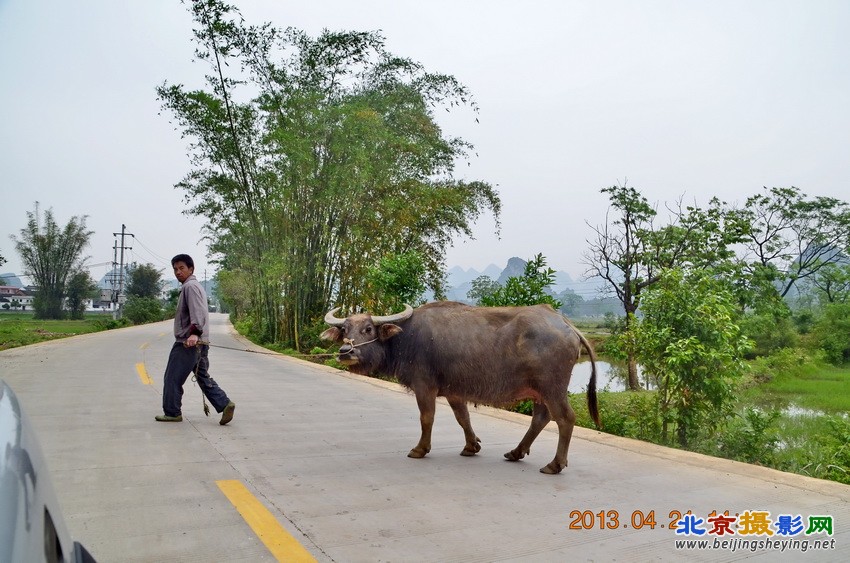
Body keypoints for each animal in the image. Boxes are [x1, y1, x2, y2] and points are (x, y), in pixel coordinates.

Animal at [320, 302, 604, 474]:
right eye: (344, 329)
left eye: (368, 328)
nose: (345, 351)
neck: (406, 337)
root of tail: (566, 324)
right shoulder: (455, 391)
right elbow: (463, 418)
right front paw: (471, 446)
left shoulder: (425, 386)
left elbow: (427, 418)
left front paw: (420, 449)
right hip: (539, 391)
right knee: (541, 418)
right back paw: (516, 452)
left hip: (553, 388)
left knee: (565, 418)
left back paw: (554, 464)